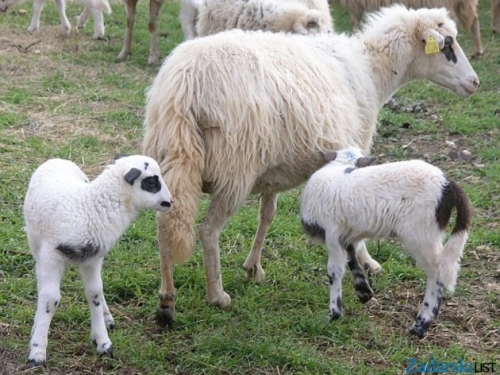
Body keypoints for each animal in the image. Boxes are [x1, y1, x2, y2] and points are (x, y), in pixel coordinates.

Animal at [24, 155, 175, 368]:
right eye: (151, 182)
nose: (170, 202)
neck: (90, 207)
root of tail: (57, 159)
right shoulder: (51, 256)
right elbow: (50, 299)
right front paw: (37, 351)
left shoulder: (93, 259)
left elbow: (94, 294)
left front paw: (103, 343)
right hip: (35, 243)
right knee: (41, 284)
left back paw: (107, 318)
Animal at [300, 148, 472, 340]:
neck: (339, 167)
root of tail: (448, 185)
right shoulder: (347, 233)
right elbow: (352, 257)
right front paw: (363, 291)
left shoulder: (332, 233)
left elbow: (334, 272)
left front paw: (334, 314)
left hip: (420, 234)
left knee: (437, 273)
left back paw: (420, 325)